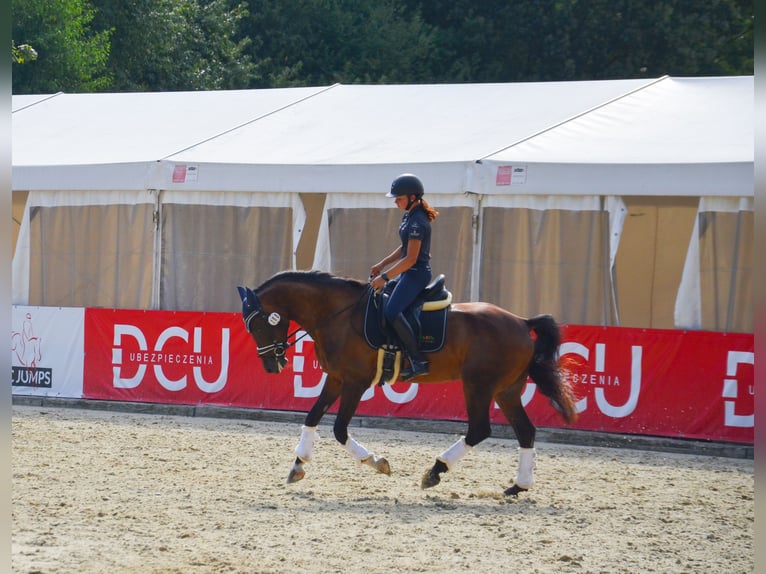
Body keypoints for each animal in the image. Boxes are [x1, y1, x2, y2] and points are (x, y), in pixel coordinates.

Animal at [237, 272, 580, 498]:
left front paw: (375, 462)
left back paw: (436, 471)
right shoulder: (335, 378)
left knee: (480, 429)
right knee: (526, 431)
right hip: (505, 390)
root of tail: (521, 322)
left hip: (479, 385)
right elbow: (311, 417)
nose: (272, 365)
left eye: (258, 324)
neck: (337, 315)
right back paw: (518, 485)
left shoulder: (355, 382)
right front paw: (298, 465)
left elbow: (339, 429)